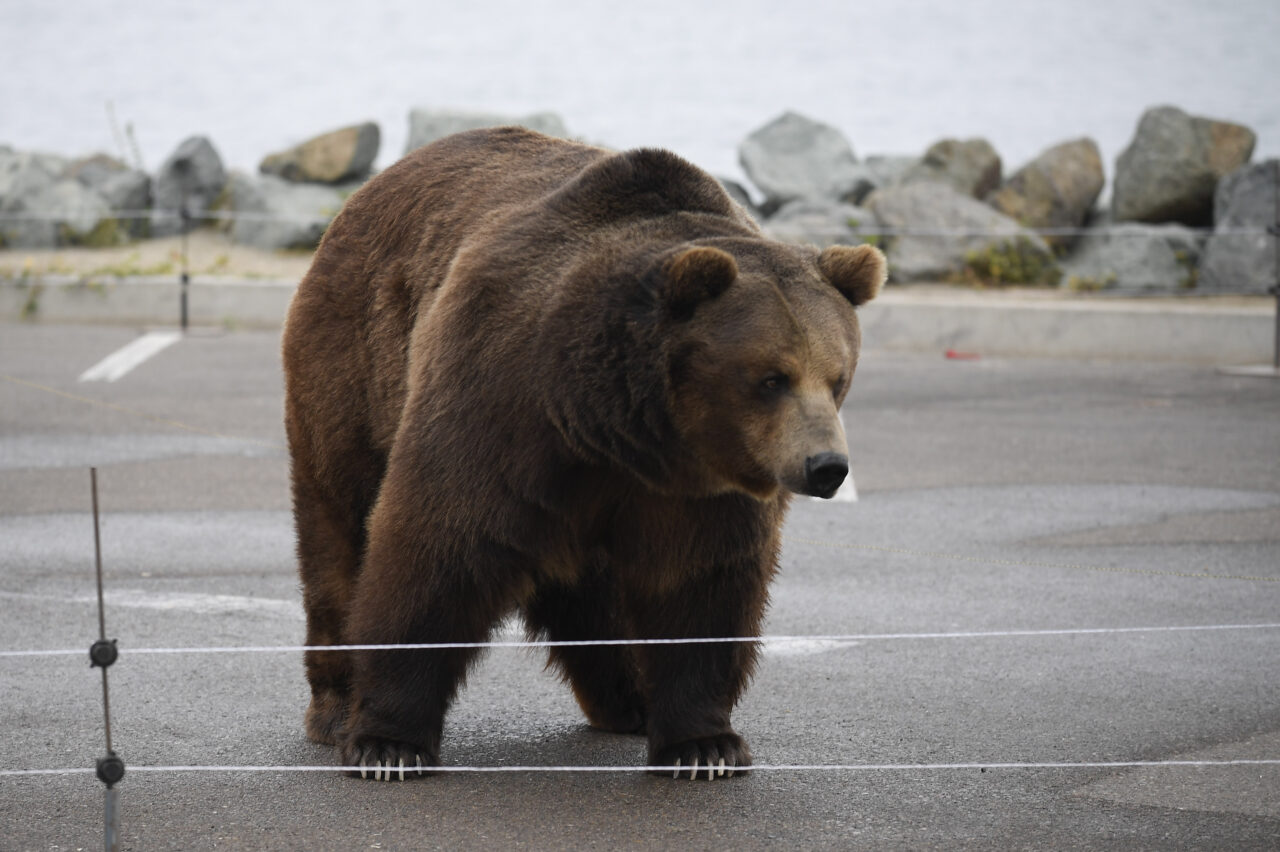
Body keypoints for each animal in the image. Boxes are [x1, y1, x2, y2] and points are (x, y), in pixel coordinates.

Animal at [282, 127, 885, 781]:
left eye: (838, 377)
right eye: (772, 377)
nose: (826, 467)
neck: (616, 423)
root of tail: (366, 193)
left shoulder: (694, 487)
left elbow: (700, 584)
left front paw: (704, 745)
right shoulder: (499, 400)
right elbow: (438, 550)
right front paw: (388, 743)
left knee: (593, 592)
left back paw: (629, 699)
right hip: (355, 366)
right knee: (339, 529)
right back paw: (335, 707)